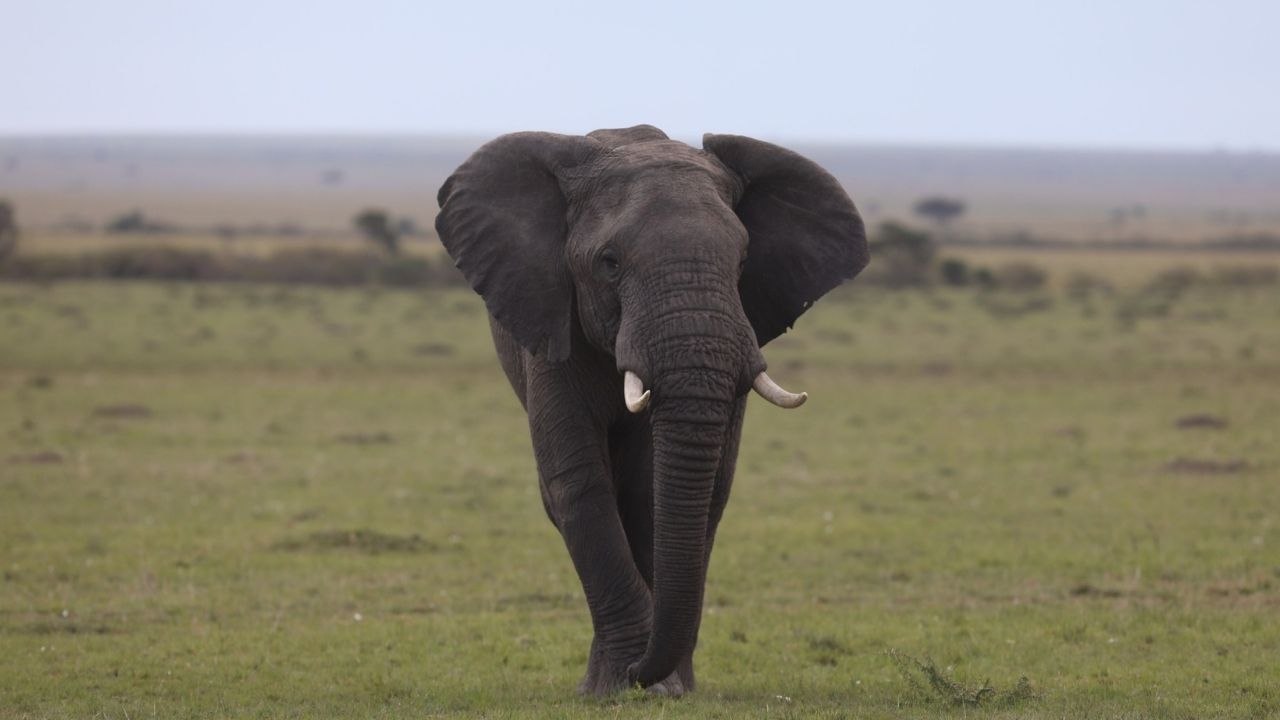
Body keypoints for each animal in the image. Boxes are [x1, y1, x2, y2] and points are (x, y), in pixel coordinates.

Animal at [435, 124, 868, 695]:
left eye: (743, 262)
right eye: (610, 263)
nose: (642, 672)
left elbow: (662, 493)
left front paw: (662, 687)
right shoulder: (552, 323)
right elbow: (579, 482)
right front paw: (619, 687)